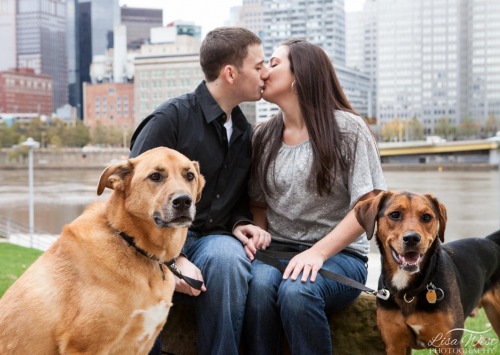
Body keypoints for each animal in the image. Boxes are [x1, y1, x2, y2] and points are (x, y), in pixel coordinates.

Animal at [0, 147, 205, 355]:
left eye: (189, 176)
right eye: (155, 176)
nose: (183, 201)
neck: (131, 243)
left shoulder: (141, 344)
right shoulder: (84, 346)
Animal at [354, 192, 500, 355]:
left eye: (426, 217)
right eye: (395, 215)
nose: (412, 238)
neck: (408, 291)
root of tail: (492, 241)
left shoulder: (449, 345)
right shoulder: (395, 345)